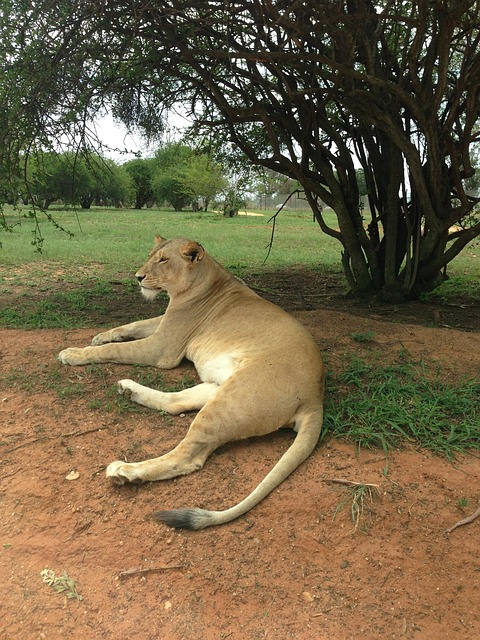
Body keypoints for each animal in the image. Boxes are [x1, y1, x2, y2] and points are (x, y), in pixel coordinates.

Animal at [58, 235, 325, 529]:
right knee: (177, 403)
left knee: (188, 457)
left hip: (233, 398)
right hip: (218, 387)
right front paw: (102, 335)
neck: (206, 279)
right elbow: (135, 323)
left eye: (163, 259)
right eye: (151, 255)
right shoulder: (163, 323)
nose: (138, 277)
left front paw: (74, 354)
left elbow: (115, 351)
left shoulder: (162, 349)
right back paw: (128, 389)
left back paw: (126, 470)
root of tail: (315, 397)